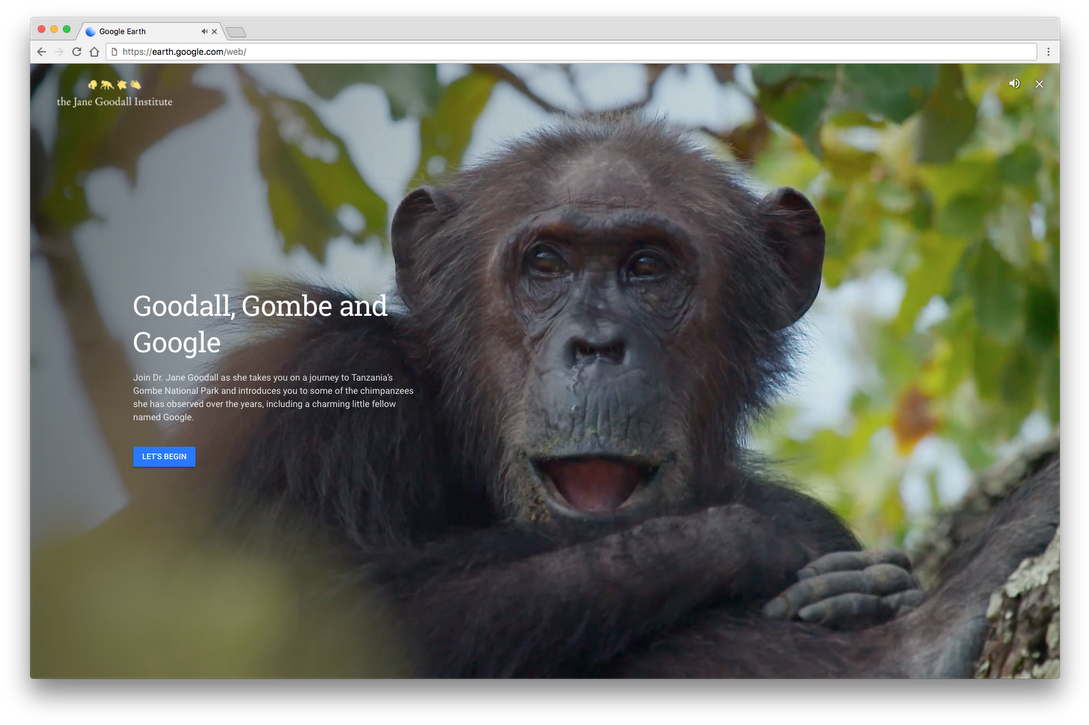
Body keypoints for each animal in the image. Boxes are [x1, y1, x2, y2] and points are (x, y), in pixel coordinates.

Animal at [182, 115, 1058, 674]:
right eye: (545, 264)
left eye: (646, 267)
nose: (597, 342)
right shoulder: (315, 398)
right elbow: (311, 621)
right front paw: (785, 543)